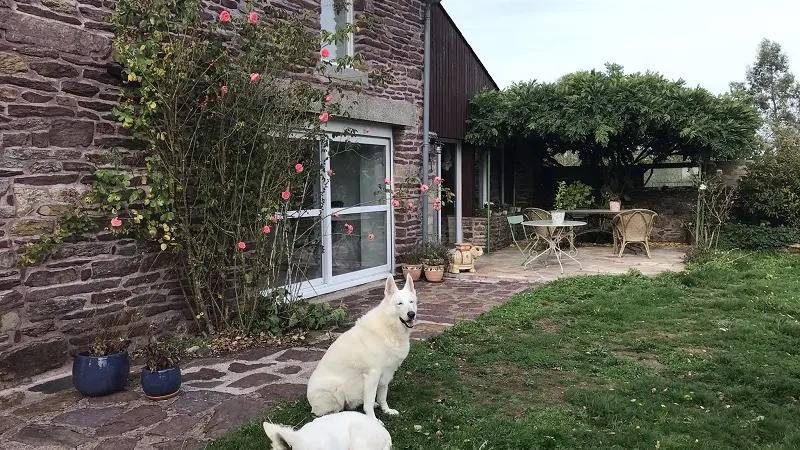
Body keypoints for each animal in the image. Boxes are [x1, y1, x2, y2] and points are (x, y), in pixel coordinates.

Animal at [306, 272, 418, 420]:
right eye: (399, 303)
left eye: (411, 302)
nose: (411, 314)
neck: (389, 328)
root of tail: (311, 404)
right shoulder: (373, 375)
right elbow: (368, 403)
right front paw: (373, 420)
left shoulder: (386, 375)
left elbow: (382, 397)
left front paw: (386, 410)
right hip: (336, 391)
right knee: (333, 411)